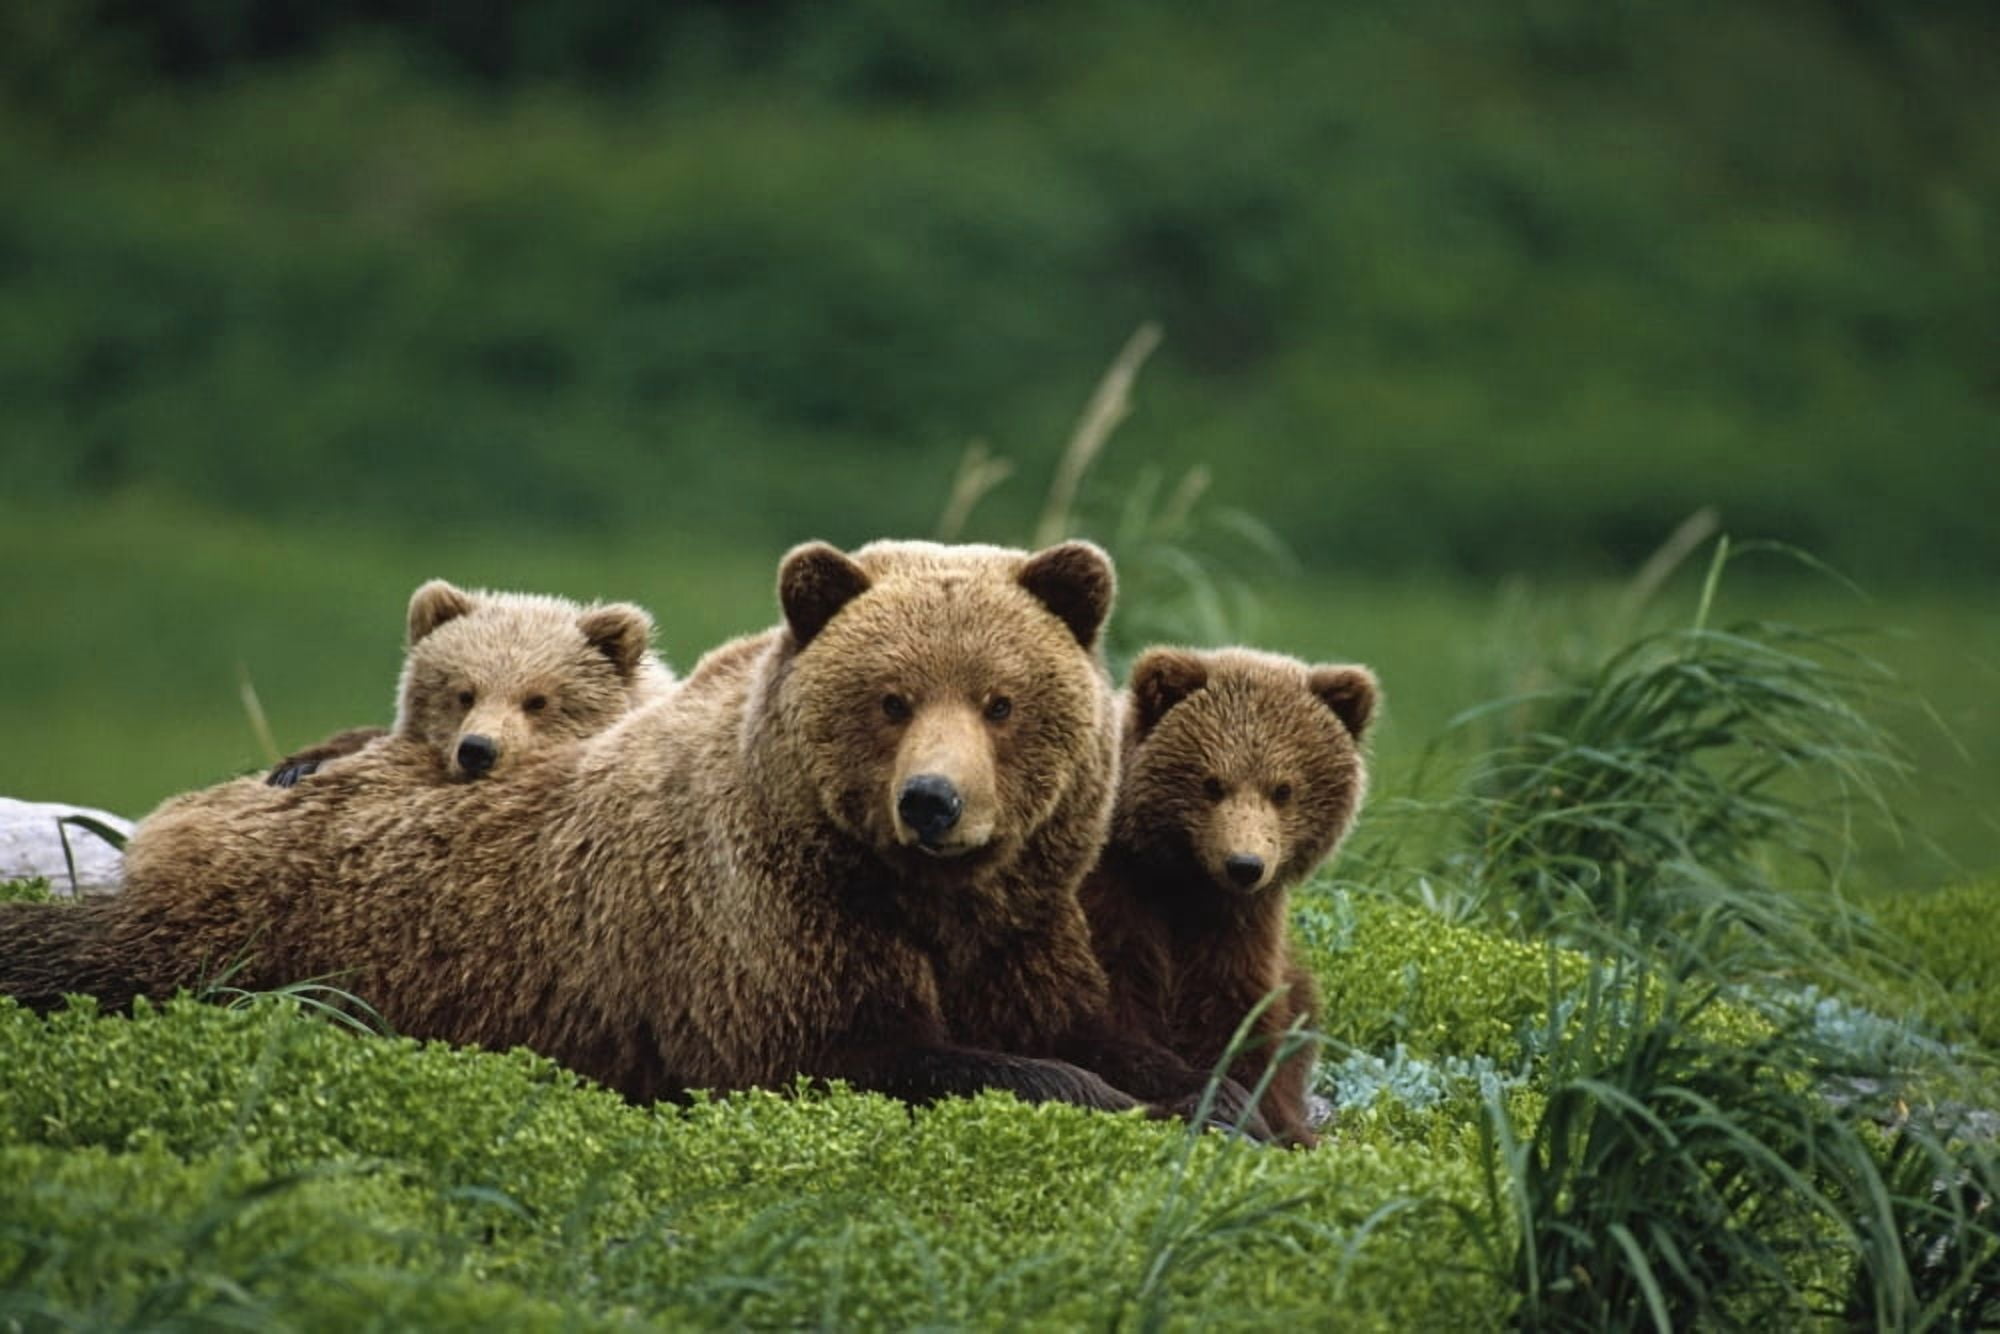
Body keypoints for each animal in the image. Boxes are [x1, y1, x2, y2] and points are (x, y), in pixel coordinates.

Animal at [1079, 646, 1378, 1147]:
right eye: (1212, 783)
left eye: (1283, 789)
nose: (1244, 865)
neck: (1183, 882)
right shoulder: (1117, 900)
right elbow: (1118, 1006)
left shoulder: (1238, 926)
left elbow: (1233, 1015)